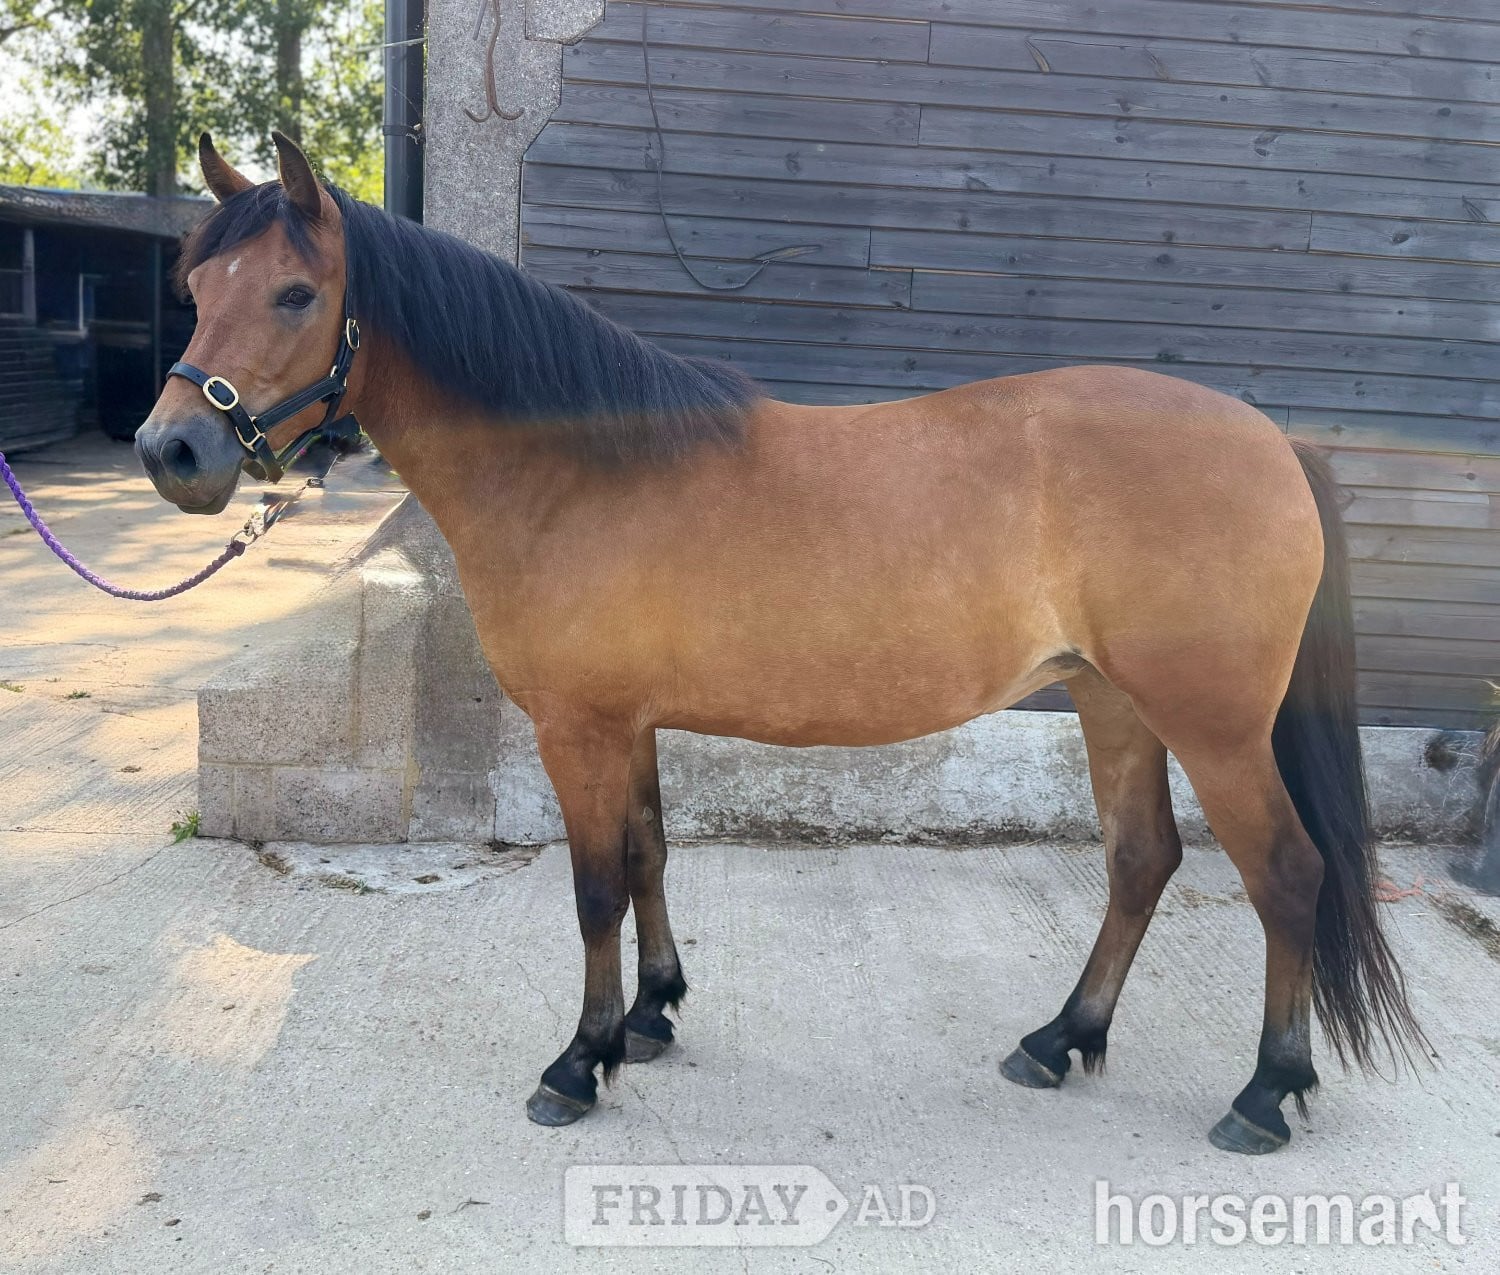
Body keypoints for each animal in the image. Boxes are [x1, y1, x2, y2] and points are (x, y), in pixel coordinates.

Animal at [135, 132, 1427, 1153]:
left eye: (296, 294)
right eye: (196, 285)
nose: (171, 451)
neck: (582, 469)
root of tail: (1269, 439)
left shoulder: (579, 728)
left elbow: (594, 888)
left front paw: (579, 1064)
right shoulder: (631, 724)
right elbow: (650, 859)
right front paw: (651, 1018)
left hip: (1213, 723)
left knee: (1286, 874)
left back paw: (1264, 1094)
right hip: (1112, 702)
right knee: (1142, 861)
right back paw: (1062, 1039)